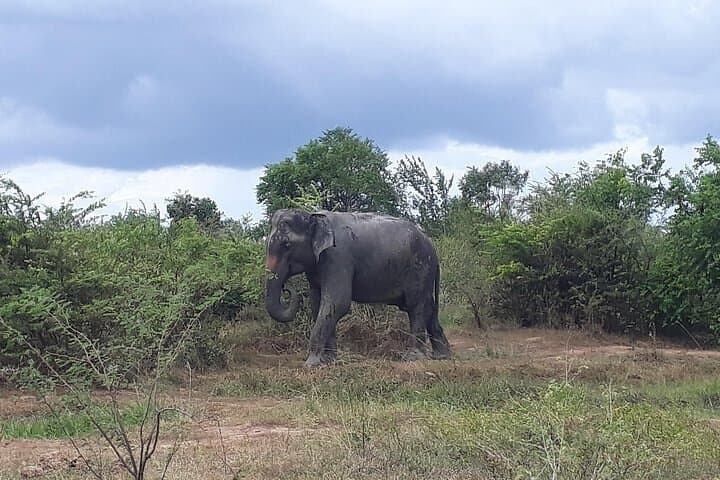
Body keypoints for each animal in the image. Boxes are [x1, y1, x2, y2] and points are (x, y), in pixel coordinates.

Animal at [264, 208, 451, 367]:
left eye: (286, 244)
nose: (286, 289)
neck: (313, 215)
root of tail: (432, 245)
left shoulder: (338, 257)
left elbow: (337, 302)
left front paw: (312, 364)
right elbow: (318, 305)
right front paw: (329, 360)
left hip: (420, 268)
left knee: (416, 306)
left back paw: (412, 358)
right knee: (429, 308)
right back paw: (442, 356)